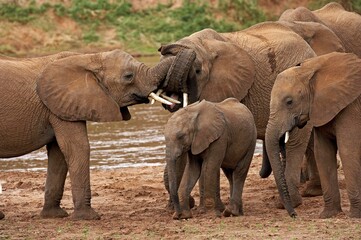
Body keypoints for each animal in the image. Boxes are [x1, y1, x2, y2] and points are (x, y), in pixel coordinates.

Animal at [0, 49, 191, 220]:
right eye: (128, 76)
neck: (89, 58)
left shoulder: (60, 107)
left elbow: (59, 154)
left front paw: (53, 216)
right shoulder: (62, 104)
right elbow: (78, 148)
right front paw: (88, 217)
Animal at [264, 52, 360, 218]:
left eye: (289, 102)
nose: (294, 215)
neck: (310, 70)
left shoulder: (350, 107)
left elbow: (348, 151)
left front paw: (354, 216)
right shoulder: (321, 107)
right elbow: (323, 153)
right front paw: (328, 215)